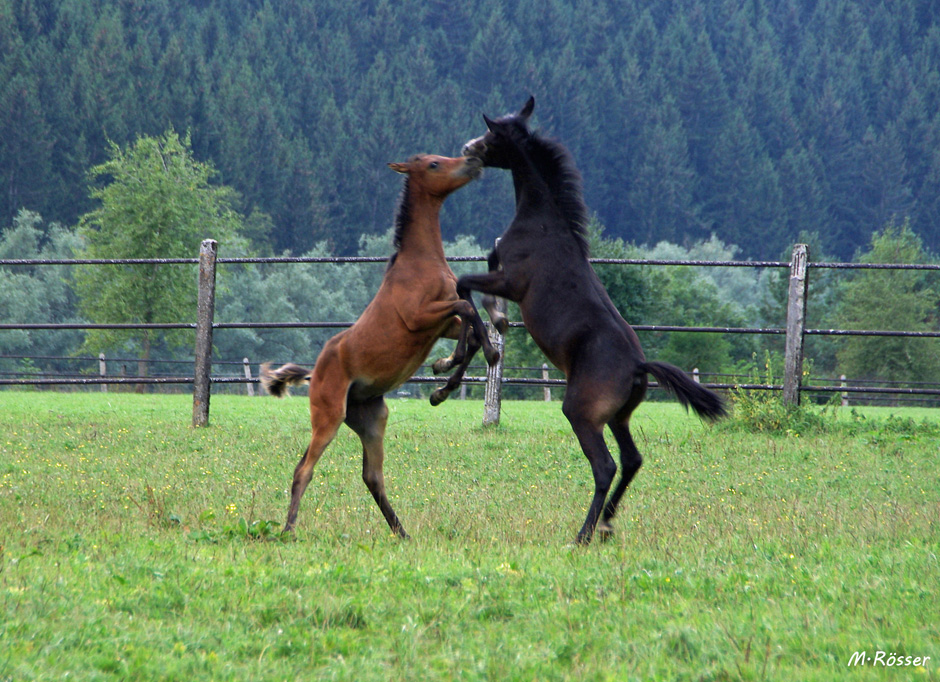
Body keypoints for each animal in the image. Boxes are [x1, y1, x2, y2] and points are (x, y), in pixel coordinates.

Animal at [260, 155, 496, 536]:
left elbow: (471, 325)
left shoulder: (442, 325)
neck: (421, 261)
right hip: (328, 416)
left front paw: (441, 380)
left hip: (371, 420)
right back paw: (288, 531)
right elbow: (466, 308)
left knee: (372, 476)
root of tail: (313, 373)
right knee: (303, 469)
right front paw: (471, 362)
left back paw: (402, 533)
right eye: (434, 164)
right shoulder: (419, 318)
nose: (473, 160)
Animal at [456, 97, 728, 540]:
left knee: (606, 466)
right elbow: (479, 271)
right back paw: (608, 522)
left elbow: (466, 284)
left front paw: (493, 334)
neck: (543, 222)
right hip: (617, 416)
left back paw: (584, 534)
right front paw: (494, 327)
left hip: (582, 414)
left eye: (492, 134)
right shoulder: (501, 269)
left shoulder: (512, 281)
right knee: (633, 459)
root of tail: (638, 365)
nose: (467, 149)